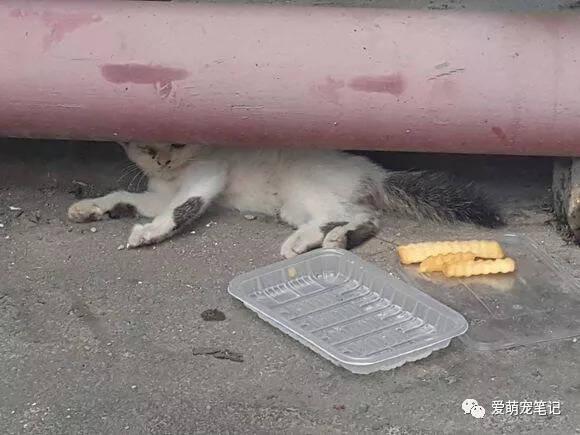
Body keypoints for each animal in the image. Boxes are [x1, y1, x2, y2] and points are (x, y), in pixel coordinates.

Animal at [69, 143, 502, 258]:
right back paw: (342, 239)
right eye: (147, 147)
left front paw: (150, 233)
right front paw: (94, 206)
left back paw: (304, 241)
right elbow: (130, 197)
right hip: (299, 203)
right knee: (363, 216)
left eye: (178, 143)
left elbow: (183, 206)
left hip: (300, 185)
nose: (163, 160)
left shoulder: (207, 175)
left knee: (337, 213)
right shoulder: (157, 192)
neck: (174, 177)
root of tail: (374, 172)